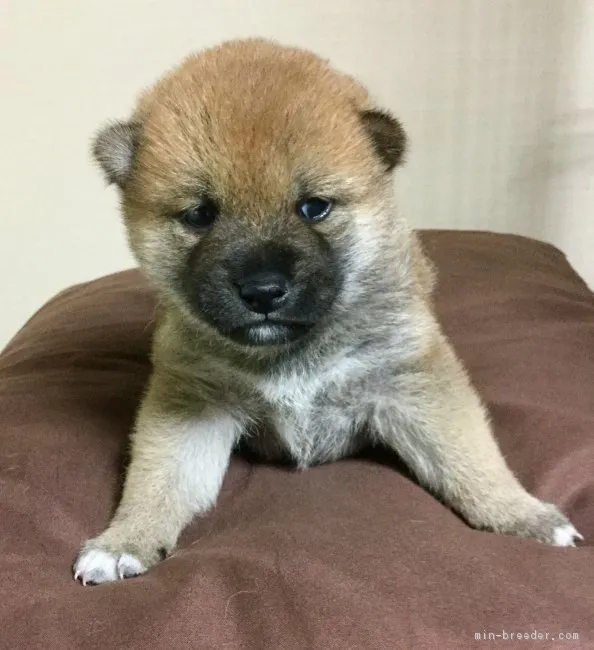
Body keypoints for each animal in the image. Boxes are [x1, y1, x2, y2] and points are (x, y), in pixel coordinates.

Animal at [73, 38, 580, 584]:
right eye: (201, 215)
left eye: (313, 207)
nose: (263, 291)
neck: (292, 353)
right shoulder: (193, 403)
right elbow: (158, 480)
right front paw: (125, 540)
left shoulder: (411, 383)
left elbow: (472, 459)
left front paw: (522, 515)